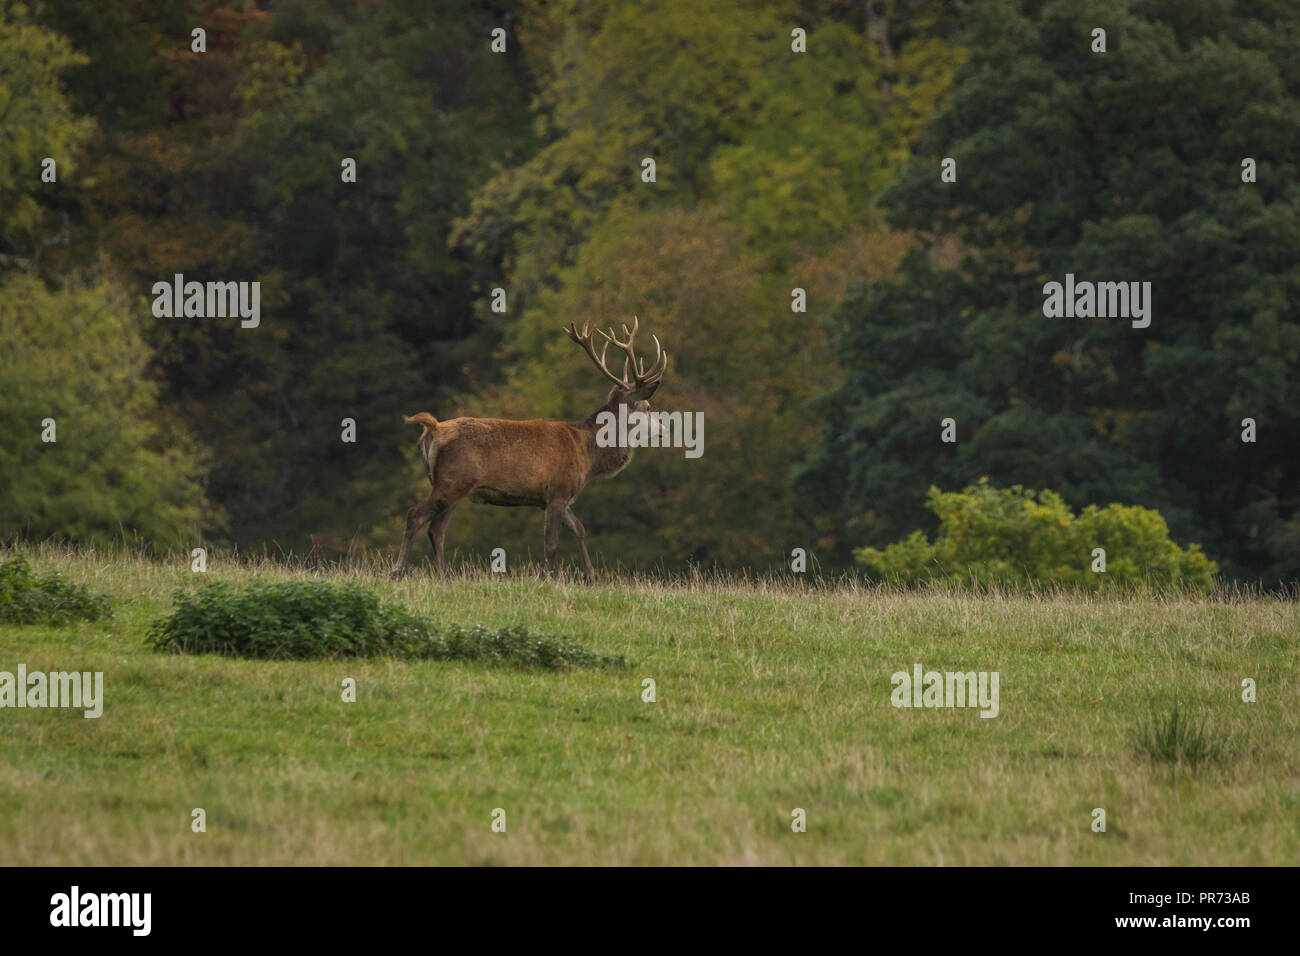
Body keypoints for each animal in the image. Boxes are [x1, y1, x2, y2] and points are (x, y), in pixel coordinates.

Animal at [393, 316, 667, 582]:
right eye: (647, 407)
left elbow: (580, 529)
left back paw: (444, 576)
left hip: (456, 488)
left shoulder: (554, 498)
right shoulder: (558, 490)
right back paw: (399, 572)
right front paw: (548, 579)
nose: (663, 429)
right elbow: (551, 544)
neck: (588, 454)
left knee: (436, 529)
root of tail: (434, 429)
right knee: (415, 515)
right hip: (452, 481)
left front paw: (591, 576)